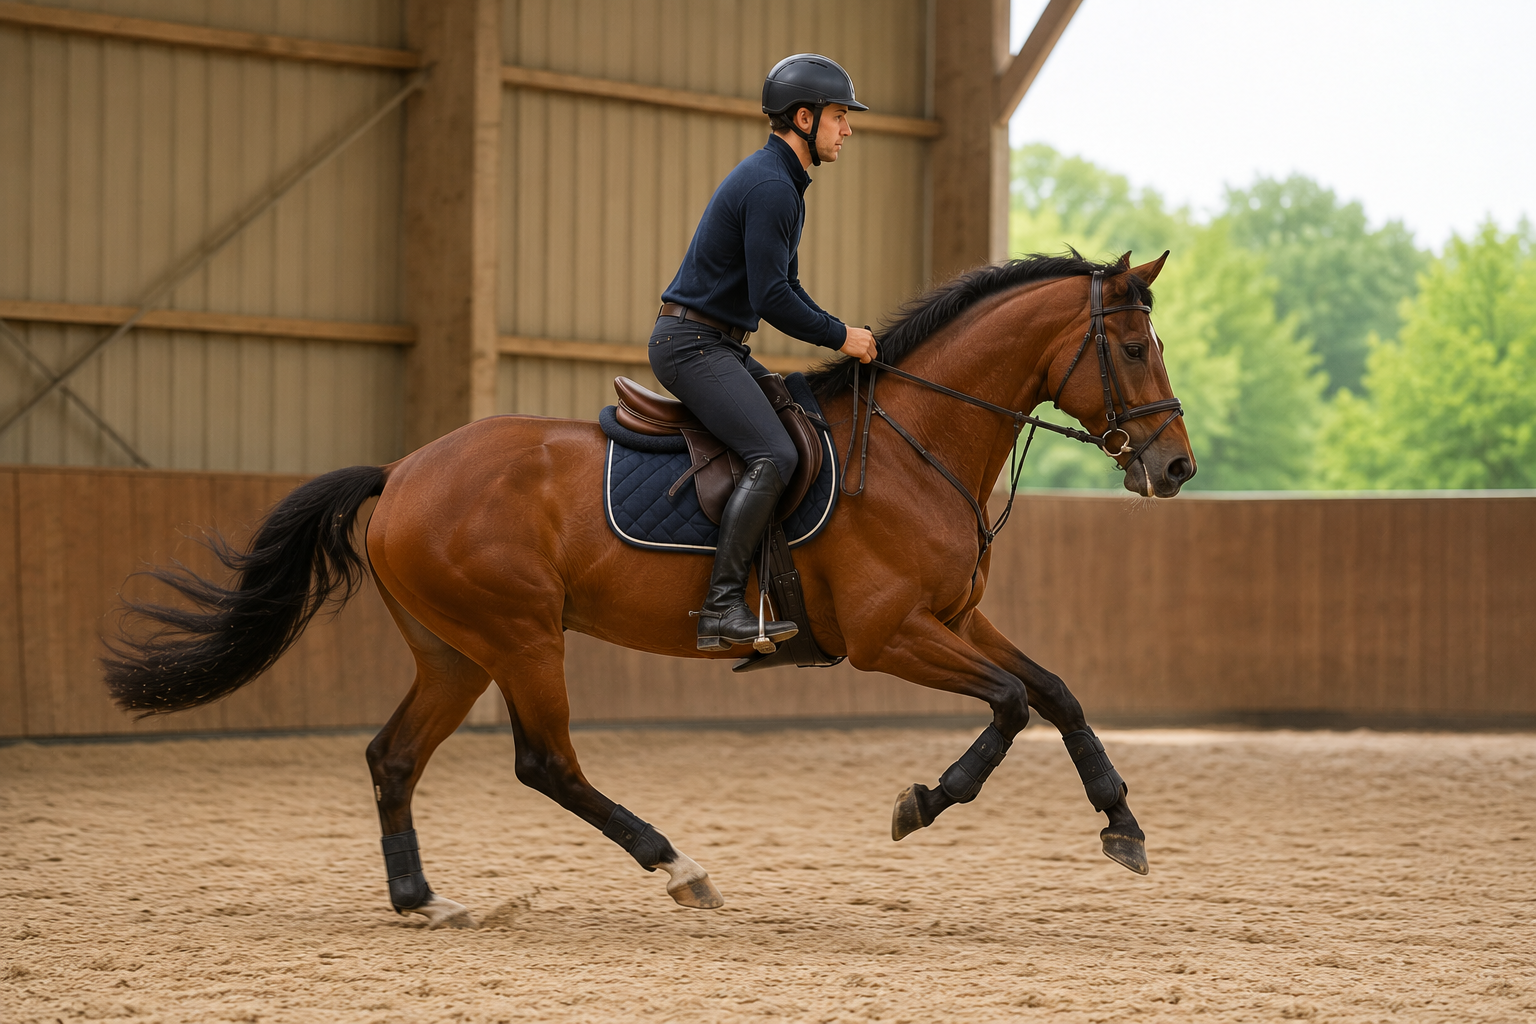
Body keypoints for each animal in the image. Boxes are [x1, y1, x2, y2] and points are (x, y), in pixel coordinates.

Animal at [105, 251, 1195, 929]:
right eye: (1133, 347)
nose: (1178, 468)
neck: (913, 440)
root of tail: (402, 472)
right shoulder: (890, 634)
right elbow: (1010, 704)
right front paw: (924, 801)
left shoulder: (958, 616)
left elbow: (1055, 691)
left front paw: (1124, 826)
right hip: (520, 637)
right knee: (546, 764)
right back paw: (682, 870)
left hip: (455, 650)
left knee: (393, 756)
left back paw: (424, 900)